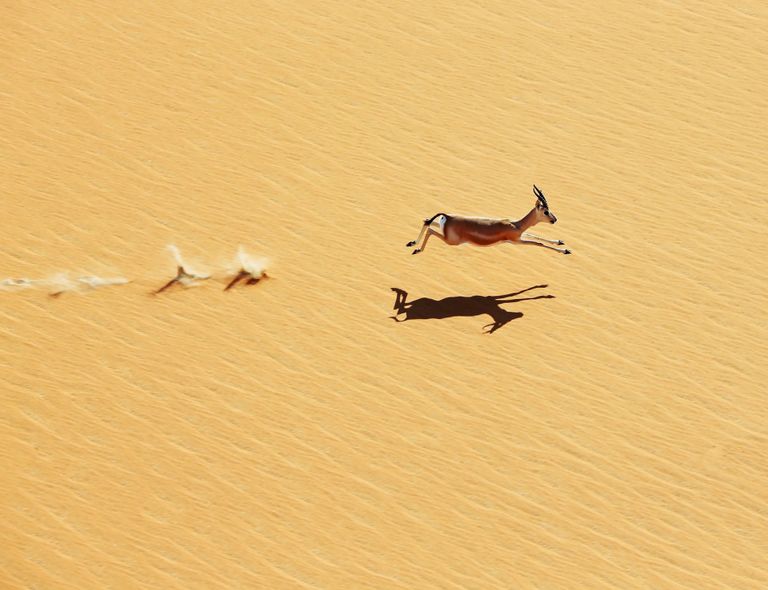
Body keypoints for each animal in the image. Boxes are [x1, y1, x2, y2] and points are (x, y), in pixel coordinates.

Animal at [406, 185, 570, 255]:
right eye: (546, 211)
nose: (554, 220)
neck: (516, 225)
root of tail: (448, 216)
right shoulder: (517, 241)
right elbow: (538, 243)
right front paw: (565, 250)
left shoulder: (520, 235)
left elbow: (535, 235)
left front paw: (560, 242)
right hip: (451, 241)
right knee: (430, 230)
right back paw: (417, 249)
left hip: (442, 228)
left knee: (427, 220)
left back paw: (412, 243)